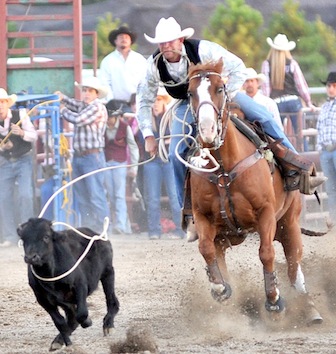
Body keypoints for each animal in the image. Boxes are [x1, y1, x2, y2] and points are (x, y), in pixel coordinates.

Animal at [188, 58, 324, 326]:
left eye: (220, 88)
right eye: (190, 93)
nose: (208, 131)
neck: (224, 168)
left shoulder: (266, 213)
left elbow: (266, 254)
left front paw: (274, 301)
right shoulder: (202, 216)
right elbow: (206, 250)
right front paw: (220, 289)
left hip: (289, 223)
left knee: (293, 264)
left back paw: (310, 309)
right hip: (228, 234)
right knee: (217, 253)